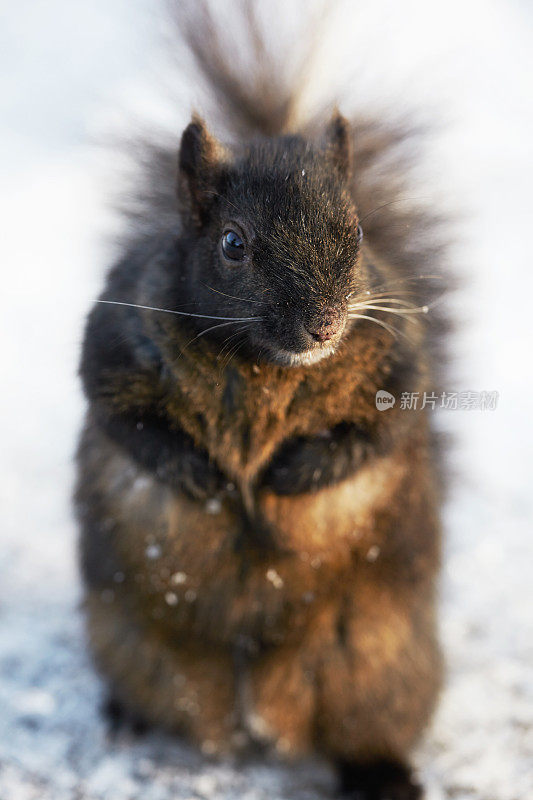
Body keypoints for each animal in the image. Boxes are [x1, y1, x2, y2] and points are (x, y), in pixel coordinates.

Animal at [75, 3, 448, 796]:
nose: (324, 325)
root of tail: (251, 705)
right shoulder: (115, 340)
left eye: (357, 229)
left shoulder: (401, 357)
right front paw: (207, 481)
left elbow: (383, 428)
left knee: (364, 724)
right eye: (232, 243)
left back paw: (381, 773)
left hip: (376, 664)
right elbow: (124, 417)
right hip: (130, 638)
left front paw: (287, 478)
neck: (264, 368)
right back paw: (127, 716)